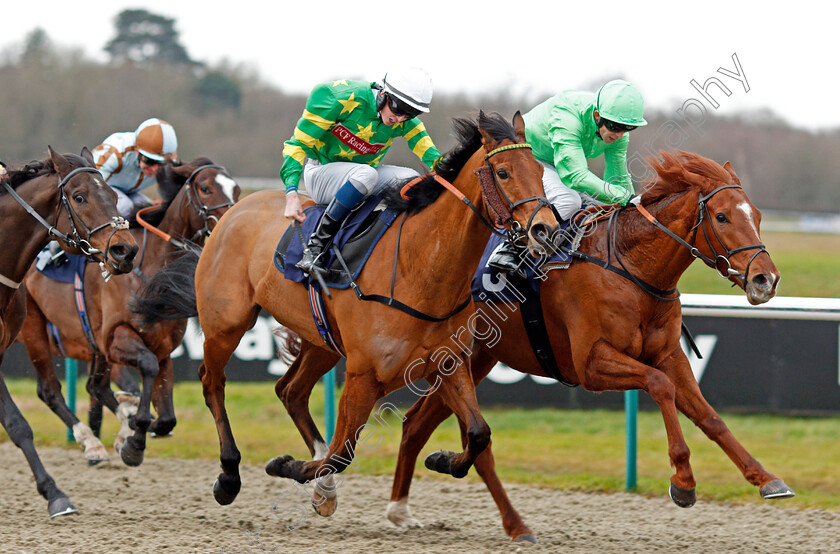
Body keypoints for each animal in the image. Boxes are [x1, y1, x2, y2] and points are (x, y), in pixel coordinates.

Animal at [18, 157, 240, 464]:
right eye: (205, 188)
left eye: (237, 189)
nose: (233, 222)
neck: (150, 269)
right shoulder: (116, 338)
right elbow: (146, 367)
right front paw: (135, 435)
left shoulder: (161, 346)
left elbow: (167, 416)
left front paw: (137, 427)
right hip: (34, 329)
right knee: (50, 390)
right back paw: (92, 443)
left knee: (95, 387)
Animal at [133, 111, 556, 508]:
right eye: (503, 172)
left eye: (540, 171)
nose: (545, 230)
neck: (420, 267)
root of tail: (230, 213)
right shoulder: (363, 373)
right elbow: (341, 453)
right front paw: (290, 467)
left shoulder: (447, 362)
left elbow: (479, 432)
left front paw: (442, 459)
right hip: (226, 323)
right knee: (212, 382)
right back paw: (229, 475)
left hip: (320, 339)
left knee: (290, 391)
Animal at [276, 150, 796, 540]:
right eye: (723, 216)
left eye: (758, 215)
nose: (765, 279)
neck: (629, 266)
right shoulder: (593, 364)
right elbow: (659, 388)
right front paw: (683, 481)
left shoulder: (669, 354)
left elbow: (709, 416)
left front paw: (766, 478)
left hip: (472, 360)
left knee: (416, 425)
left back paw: (407, 502)